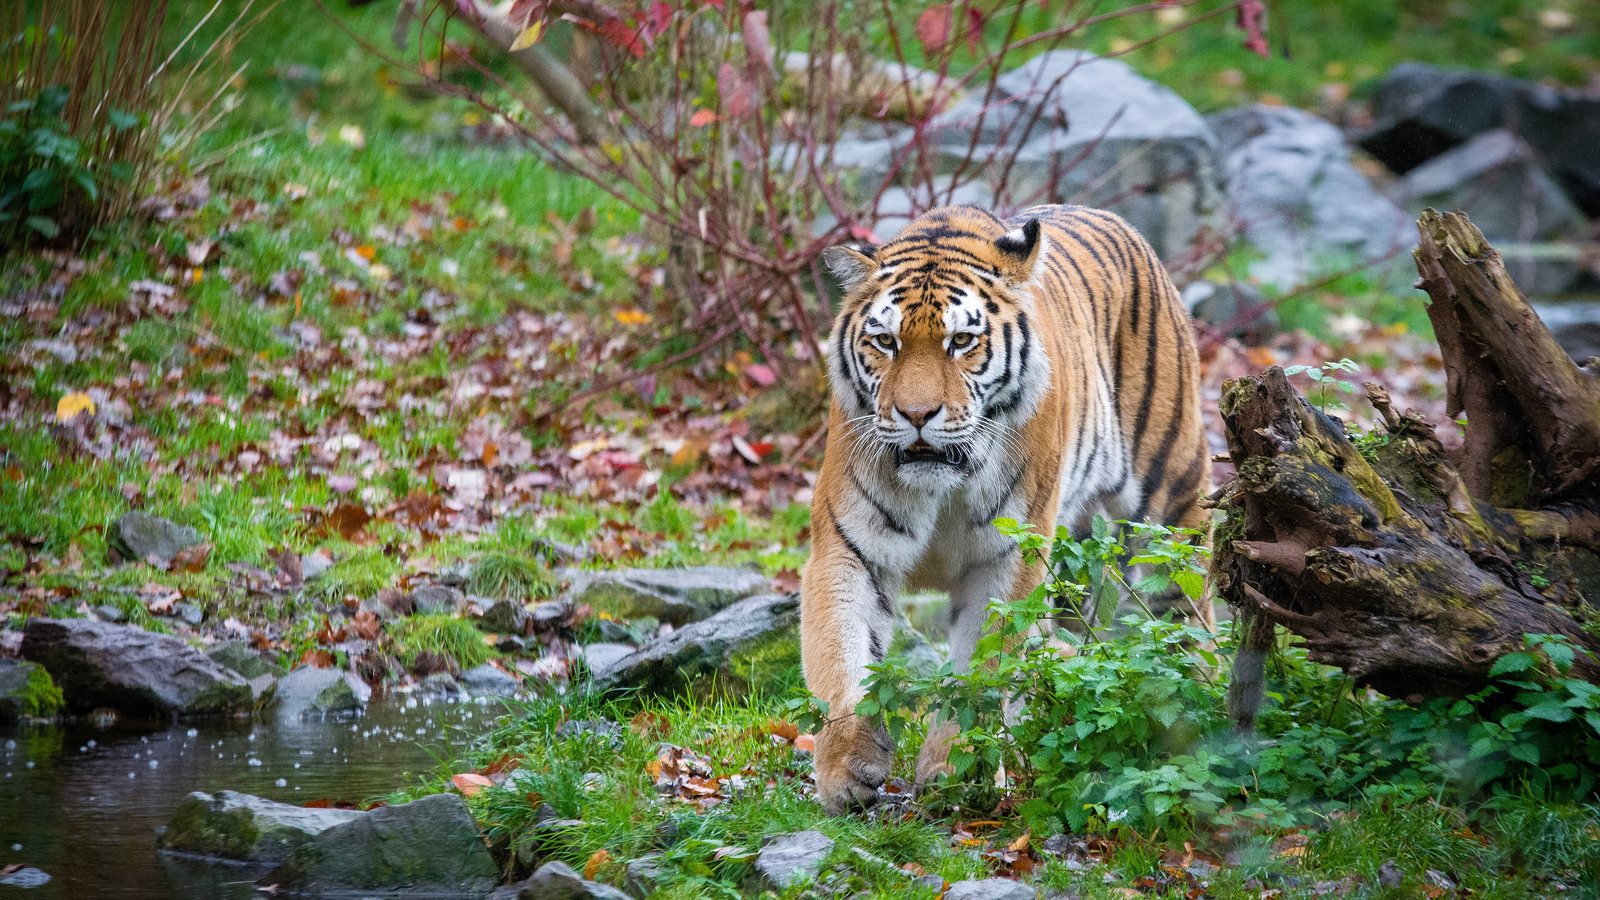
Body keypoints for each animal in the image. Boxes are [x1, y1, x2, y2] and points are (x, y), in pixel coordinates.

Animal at [800, 204, 1210, 814]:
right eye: (886, 341)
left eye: (961, 340)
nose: (916, 414)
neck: (940, 485)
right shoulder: (850, 548)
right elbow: (840, 650)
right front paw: (847, 767)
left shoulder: (1006, 558)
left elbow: (983, 666)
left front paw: (956, 769)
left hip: (1172, 494)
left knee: (1183, 606)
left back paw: (1194, 705)